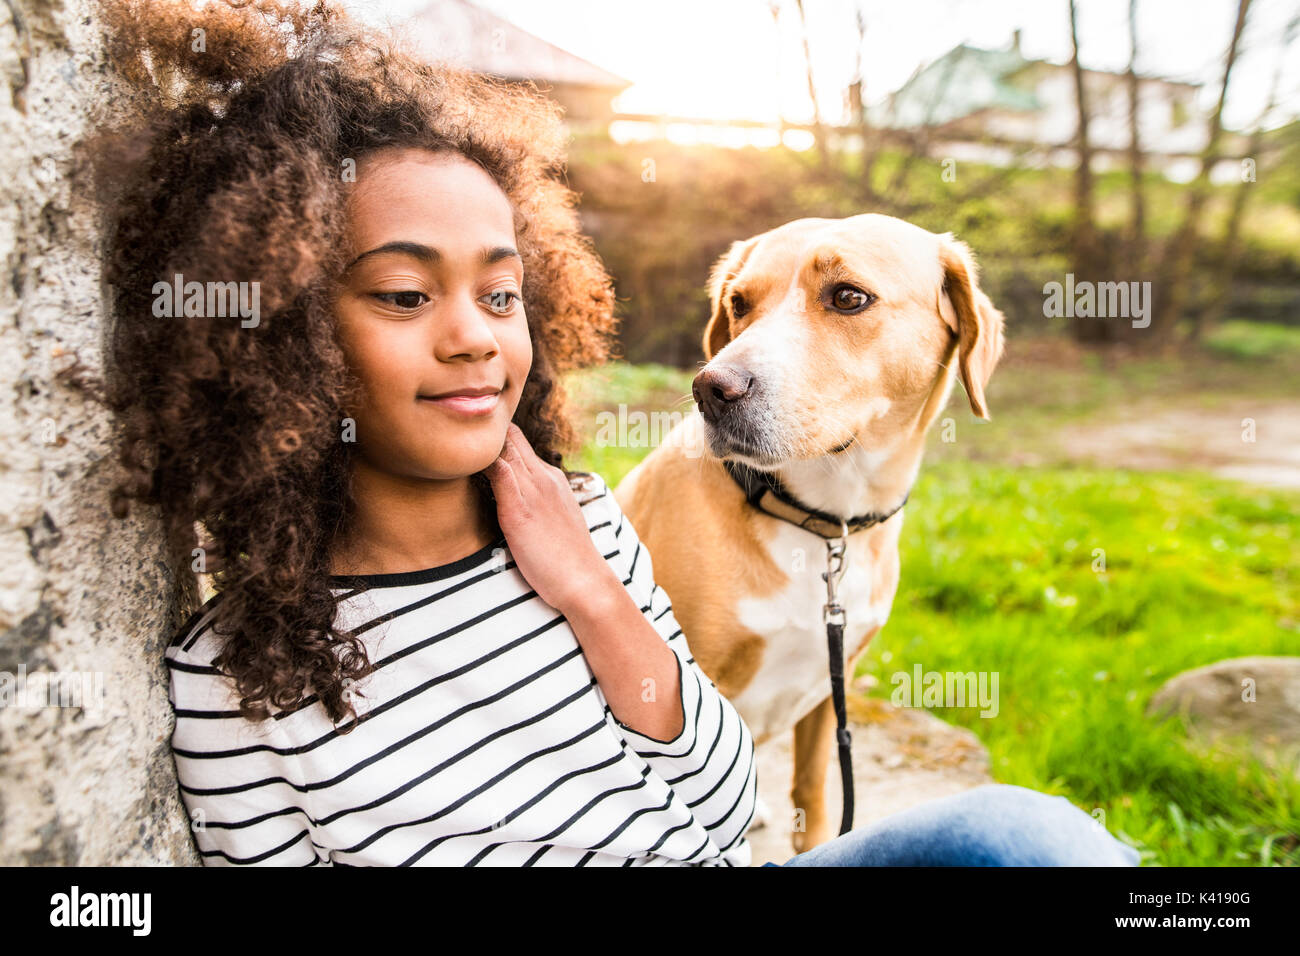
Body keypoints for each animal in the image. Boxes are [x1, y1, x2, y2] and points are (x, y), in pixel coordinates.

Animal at [616, 214, 1003, 853]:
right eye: (738, 303)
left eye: (848, 297)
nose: (711, 389)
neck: (820, 519)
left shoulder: (829, 687)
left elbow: (814, 796)